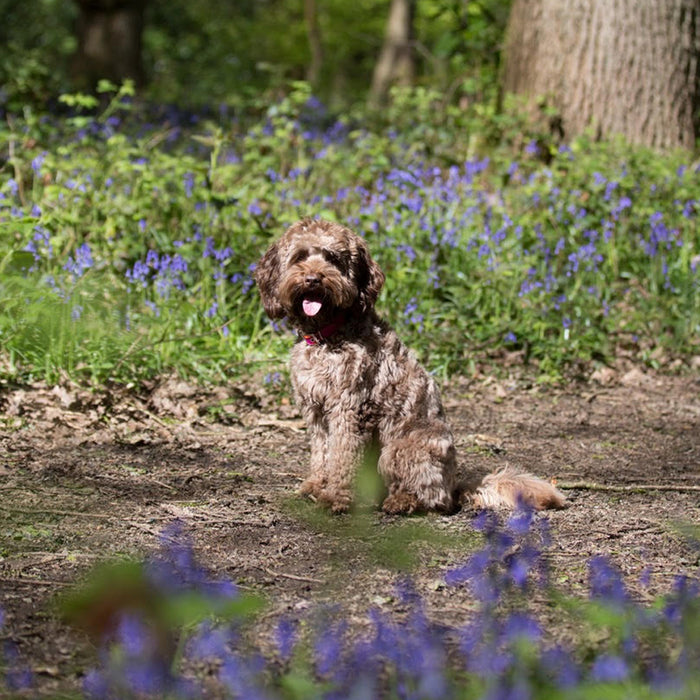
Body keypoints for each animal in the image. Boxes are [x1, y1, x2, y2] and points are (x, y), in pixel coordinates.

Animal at [254, 219, 568, 516]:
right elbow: (322, 453)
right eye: (300, 256)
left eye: (333, 258)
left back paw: (401, 502)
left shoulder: (349, 408)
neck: (327, 335)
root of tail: (453, 485)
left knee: (431, 498)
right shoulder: (316, 410)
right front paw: (317, 485)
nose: (313, 279)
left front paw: (335, 497)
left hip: (400, 450)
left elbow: (342, 457)